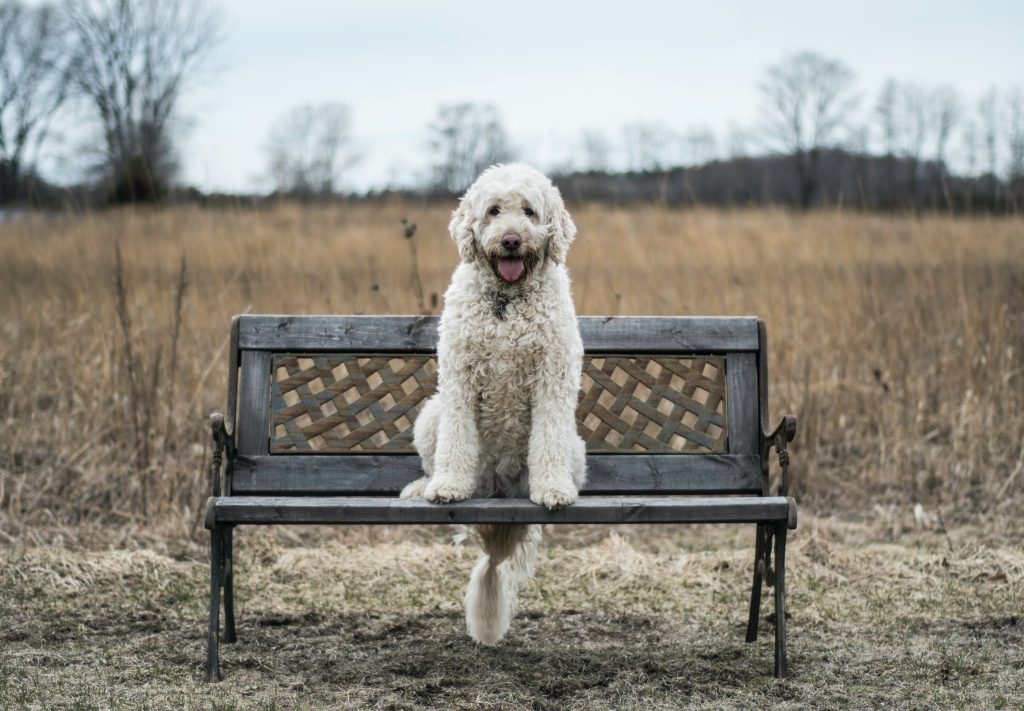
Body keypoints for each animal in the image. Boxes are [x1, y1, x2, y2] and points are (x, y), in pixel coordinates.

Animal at [403, 163, 589, 647]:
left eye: (529, 211)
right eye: (493, 210)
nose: (510, 240)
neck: (507, 302)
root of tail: (500, 492)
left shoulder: (553, 379)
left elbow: (546, 441)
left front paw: (553, 491)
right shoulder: (458, 378)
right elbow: (455, 444)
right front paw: (449, 486)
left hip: (574, 444)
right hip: (431, 415)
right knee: (433, 457)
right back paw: (423, 487)